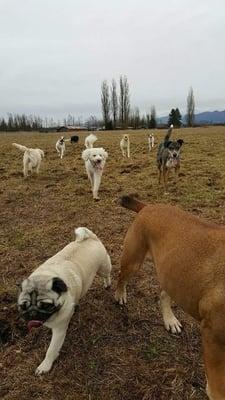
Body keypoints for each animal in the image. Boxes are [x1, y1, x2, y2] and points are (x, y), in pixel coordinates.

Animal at [17, 228, 111, 376]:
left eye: (46, 305)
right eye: (23, 306)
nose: (32, 313)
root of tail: (90, 237)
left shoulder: (59, 330)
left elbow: (51, 350)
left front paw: (45, 365)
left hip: (103, 268)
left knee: (107, 275)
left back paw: (107, 283)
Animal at [115, 195, 225, 398]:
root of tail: (148, 207)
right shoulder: (213, 337)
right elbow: (217, 384)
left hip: (173, 275)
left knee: (164, 295)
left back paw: (170, 320)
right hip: (133, 260)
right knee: (122, 277)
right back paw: (120, 295)